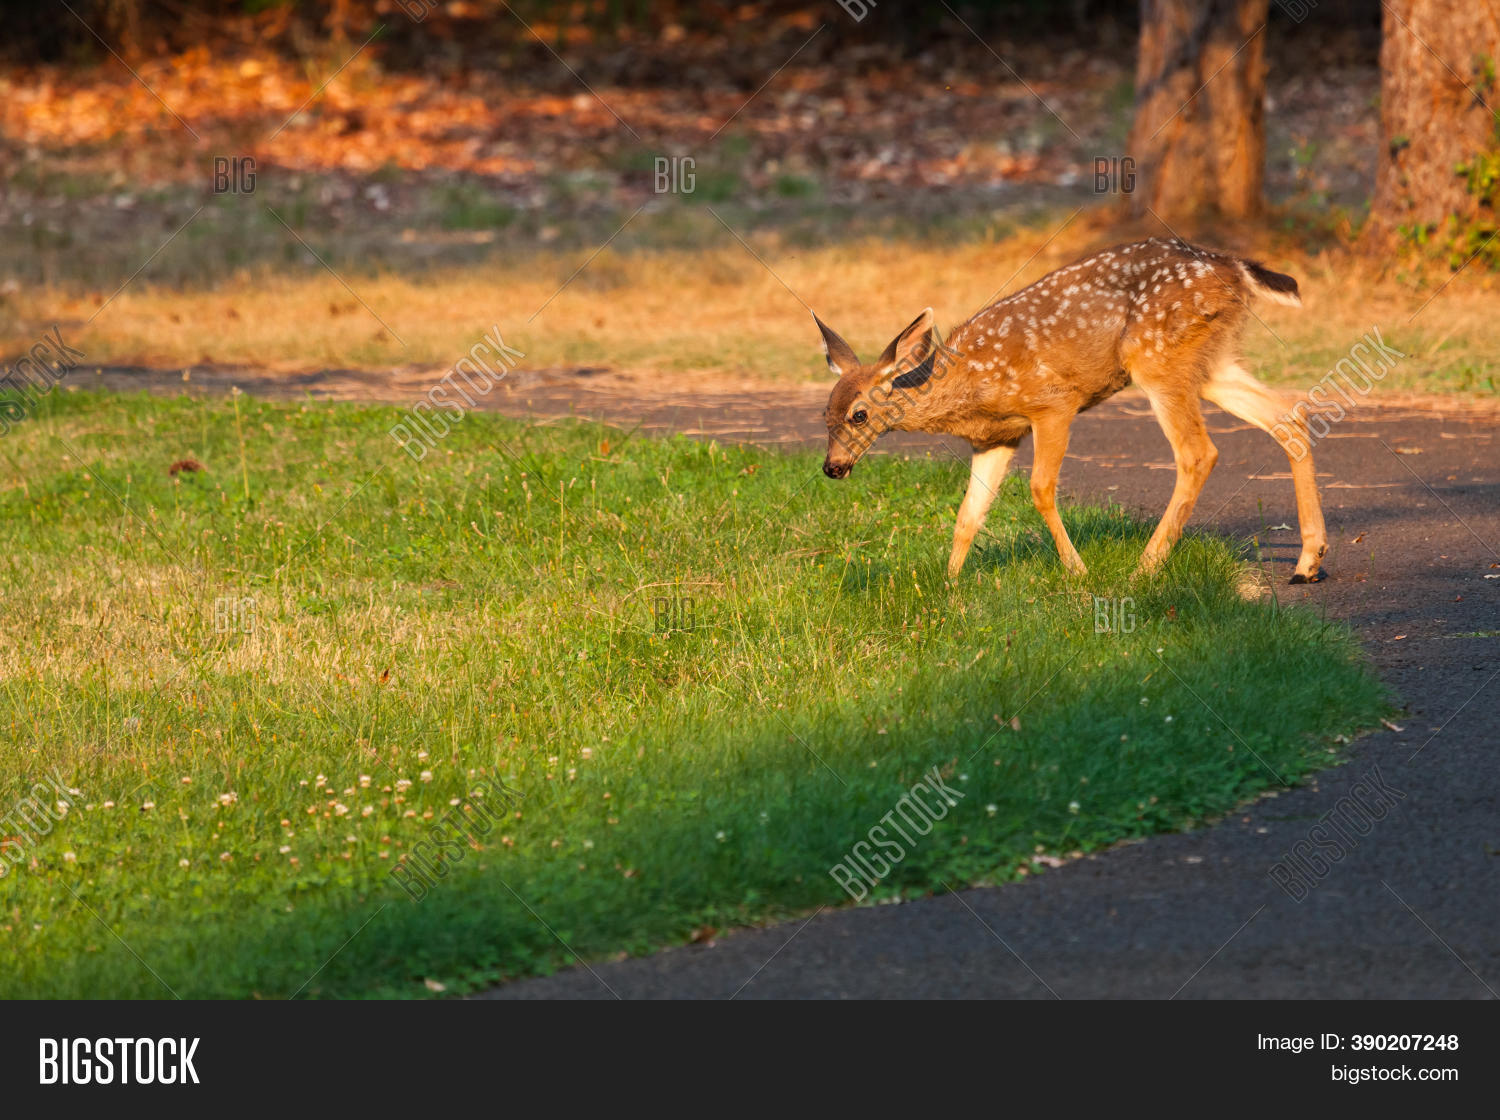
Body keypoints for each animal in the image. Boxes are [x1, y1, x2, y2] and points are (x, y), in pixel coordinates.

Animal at [815, 237, 1328, 583]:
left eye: (859, 414)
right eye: (825, 414)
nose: (832, 467)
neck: (967, 385)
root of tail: (1238, 267)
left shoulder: (1053, 404)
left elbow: (1041, 489)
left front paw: (1077, 571)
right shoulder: (997, 438)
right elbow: (968, 514)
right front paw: (950, 584)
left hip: (1156, 356)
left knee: (1198, 452)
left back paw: (1145, 566)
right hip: (1211, 360)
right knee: (1288, 414)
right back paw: (1308, 561)